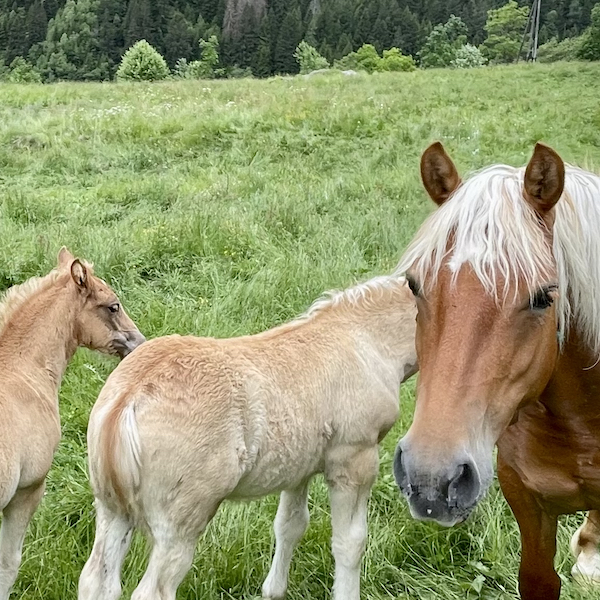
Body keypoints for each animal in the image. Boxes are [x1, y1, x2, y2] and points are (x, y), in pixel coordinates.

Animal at [78, 274, 418, 600]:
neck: (365, 341)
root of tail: (130, 397)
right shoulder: (355, 459)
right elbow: (351, 542)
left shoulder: (299, 468)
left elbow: (290, 525)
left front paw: (274, 592)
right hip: (180, 520)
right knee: (153, 591)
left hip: (112, 509)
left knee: (95, 581)